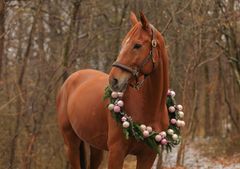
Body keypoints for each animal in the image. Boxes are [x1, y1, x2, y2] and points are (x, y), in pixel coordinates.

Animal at [56, 12, 169, 169]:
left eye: (137, 45)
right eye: (123, 44)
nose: (114, 80)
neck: (149, 109)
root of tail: (71, 79)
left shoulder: (147, 156)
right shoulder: (117, 152)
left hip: (95, 147)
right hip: (71, 145)